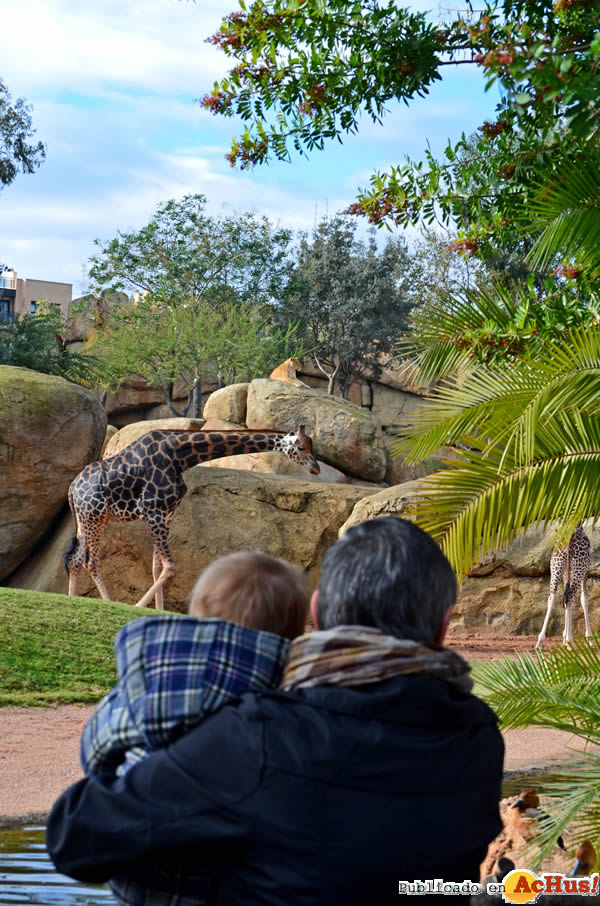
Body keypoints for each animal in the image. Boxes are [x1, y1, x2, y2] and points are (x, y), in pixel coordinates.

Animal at [63, 424, 322, 608]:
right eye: (301, 447)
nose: (316, 468)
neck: (180, 458)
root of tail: (72, 489)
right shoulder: (153, 511)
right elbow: (170, 566)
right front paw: (137, 606)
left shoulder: (166, 513)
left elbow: (157, 567)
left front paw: (155, 610)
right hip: (94, 517)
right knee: (90, 561)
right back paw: (108, 603)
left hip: (88, 520)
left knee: (75, 559)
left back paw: (72, 600)